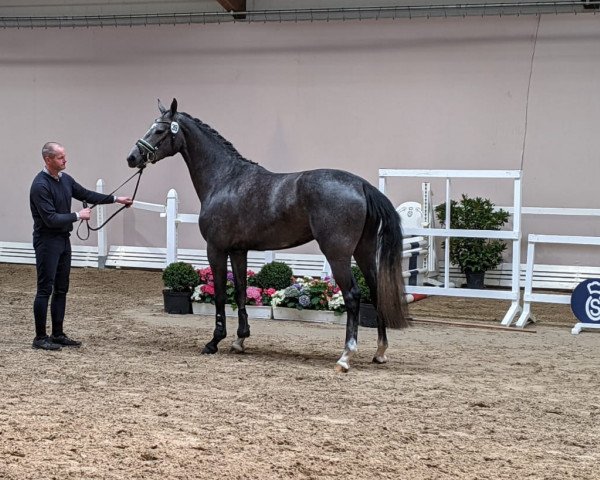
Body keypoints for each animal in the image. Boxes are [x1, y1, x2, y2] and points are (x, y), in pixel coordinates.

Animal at [126, 99, 408, 374]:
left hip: (338, 254)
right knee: (375, 291)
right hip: (364, 251)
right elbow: (240, 291)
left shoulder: (215, 249)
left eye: (159, 130)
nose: (132, 157)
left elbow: (220, 293)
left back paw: (346, 356)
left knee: (352, 295)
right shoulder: (238, 250)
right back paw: (380, 351)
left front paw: (214, 341)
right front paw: (240, 339)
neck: (224, 179)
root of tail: (362, 185)